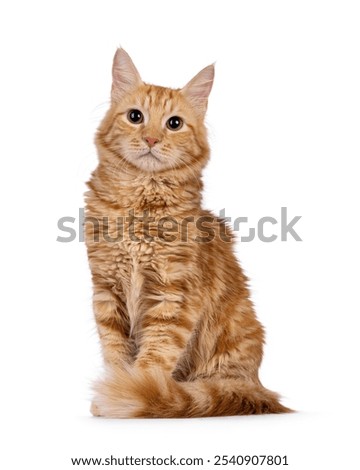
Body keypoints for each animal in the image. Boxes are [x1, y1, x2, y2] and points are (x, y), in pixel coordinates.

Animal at [85, 48, 290, 418]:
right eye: (135, 116)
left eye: (174, 124)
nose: (151, 139)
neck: (140, 204)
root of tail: (254, 384)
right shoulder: (107, 291)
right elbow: (115, 353)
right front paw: (115, 392)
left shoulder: (173, 295)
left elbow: (154, 358)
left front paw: (137, 393)